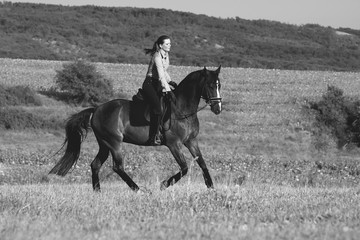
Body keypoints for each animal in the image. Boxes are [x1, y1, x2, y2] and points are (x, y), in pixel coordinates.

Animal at [47, 65, 222, 191]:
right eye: (210, 85)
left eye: (219, 85)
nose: (217, 108)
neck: (182, 109)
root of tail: (96, 109)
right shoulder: (174, 144)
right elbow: (185, 168)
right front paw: (163, 185)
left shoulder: (191, 141)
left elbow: (202, 163)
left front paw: (211, 187)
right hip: (114, 142)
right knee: (117, 166)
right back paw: (137, 189)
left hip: (104, 144)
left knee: (95, 165)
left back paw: (98, 191)